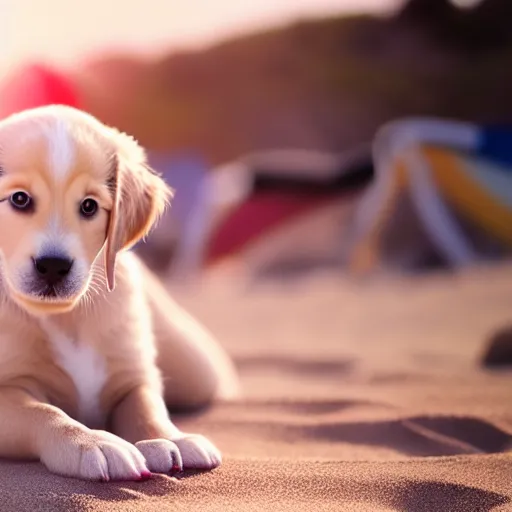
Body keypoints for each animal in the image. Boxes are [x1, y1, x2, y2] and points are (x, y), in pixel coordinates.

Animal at [0, 106, 238, 482]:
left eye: (89, 206)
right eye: (19, 199)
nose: (53, 266)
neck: (66, 317)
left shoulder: (132, 371)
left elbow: (146, 406)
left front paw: (171, 438)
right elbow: (43, 411)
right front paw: (92, 443)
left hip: (195, 366)